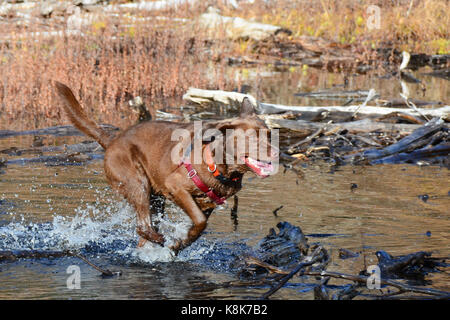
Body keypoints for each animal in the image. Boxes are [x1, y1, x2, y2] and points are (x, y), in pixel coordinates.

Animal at [55, 82, 278, 252]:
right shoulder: (176, 186)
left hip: (156, 199)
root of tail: (112, 141)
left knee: (144, 230)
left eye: (269, 135)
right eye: (252, 139)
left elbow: (199, 226)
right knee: (142, 225)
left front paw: (180, 243)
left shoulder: (209, 204)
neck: (218, 165)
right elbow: (199, 220)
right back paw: (158, 239)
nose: (276, 153)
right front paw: (176, 243)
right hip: (137, 182)